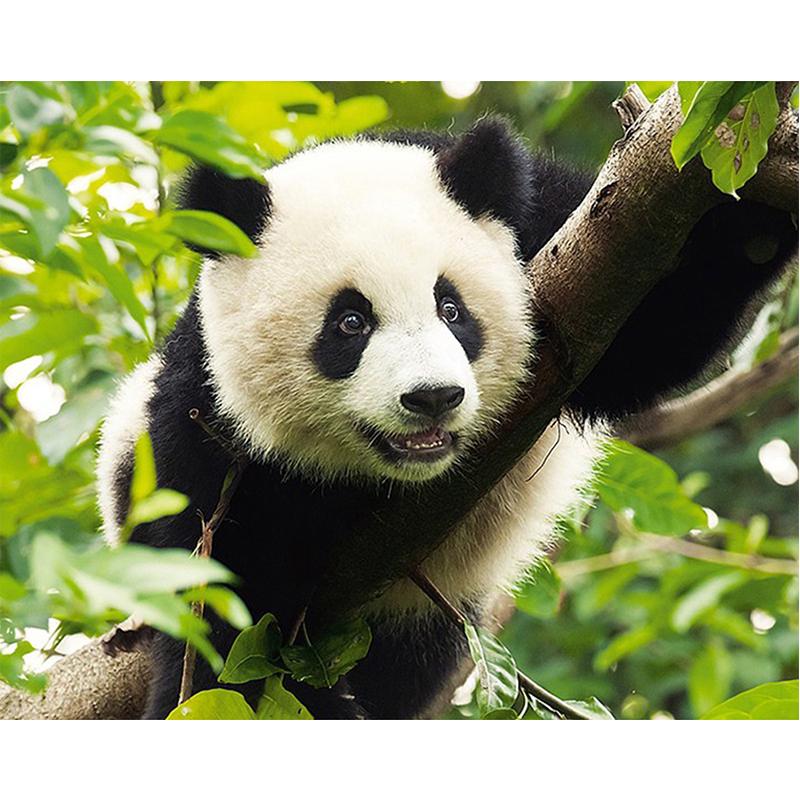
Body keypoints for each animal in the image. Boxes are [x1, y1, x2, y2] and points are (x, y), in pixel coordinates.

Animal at [96, 117, 796, 719]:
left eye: (451, 308)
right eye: (350, 322)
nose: (432, 397)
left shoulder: (555, 231)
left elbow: (654, 331)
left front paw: (754, 206)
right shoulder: (206, 423)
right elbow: (224, 603)